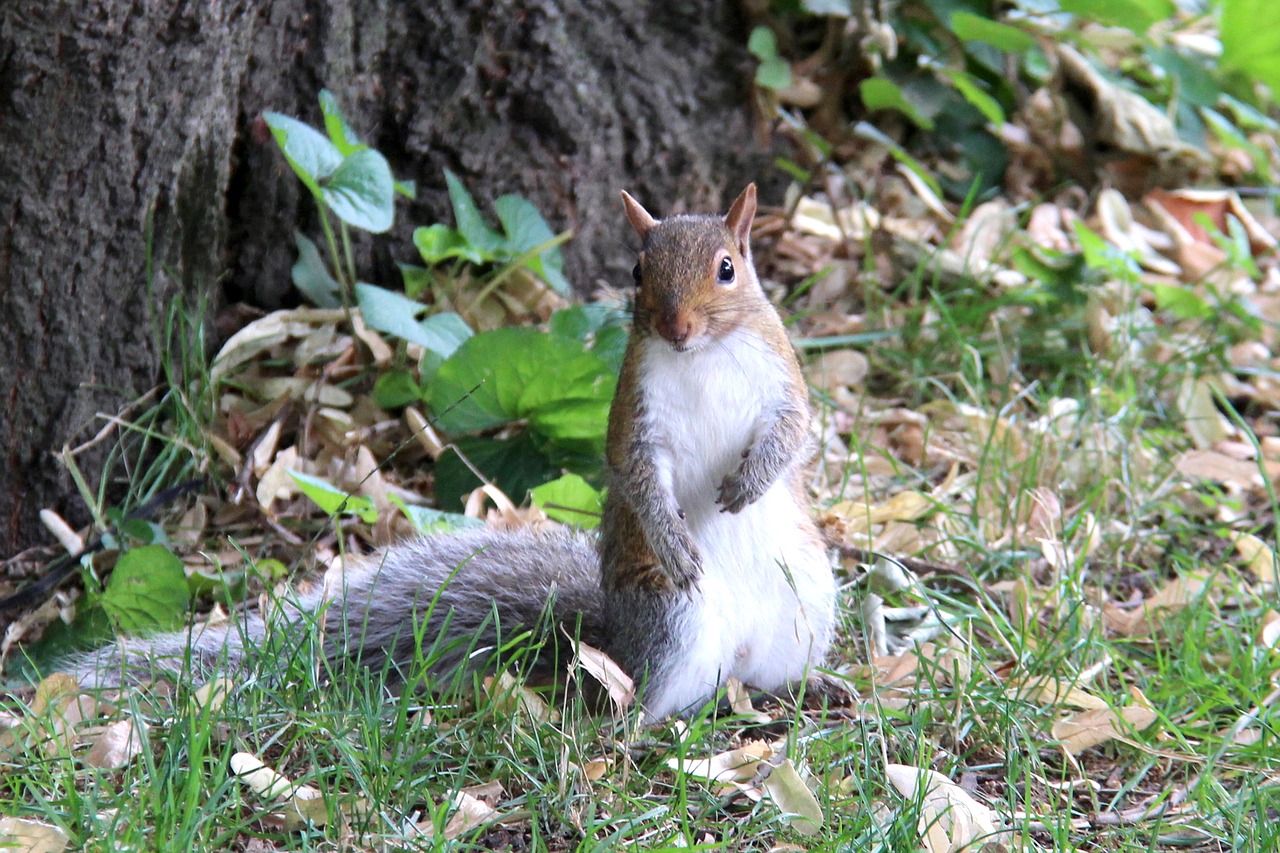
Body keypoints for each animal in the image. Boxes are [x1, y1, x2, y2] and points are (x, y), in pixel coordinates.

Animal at [67, 184, 839, 717]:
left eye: (728, 268)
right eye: (637, 271)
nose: (676, 326)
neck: (701, 354)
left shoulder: (782, 379)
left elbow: (794, 428)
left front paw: (751, 481)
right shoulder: (636, 414)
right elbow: (637, 474)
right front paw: (675, 541)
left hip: (807, 604)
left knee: (766, 678)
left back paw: (813, 687)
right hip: (676, 626)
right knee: (649, 699)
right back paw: (649, 727)